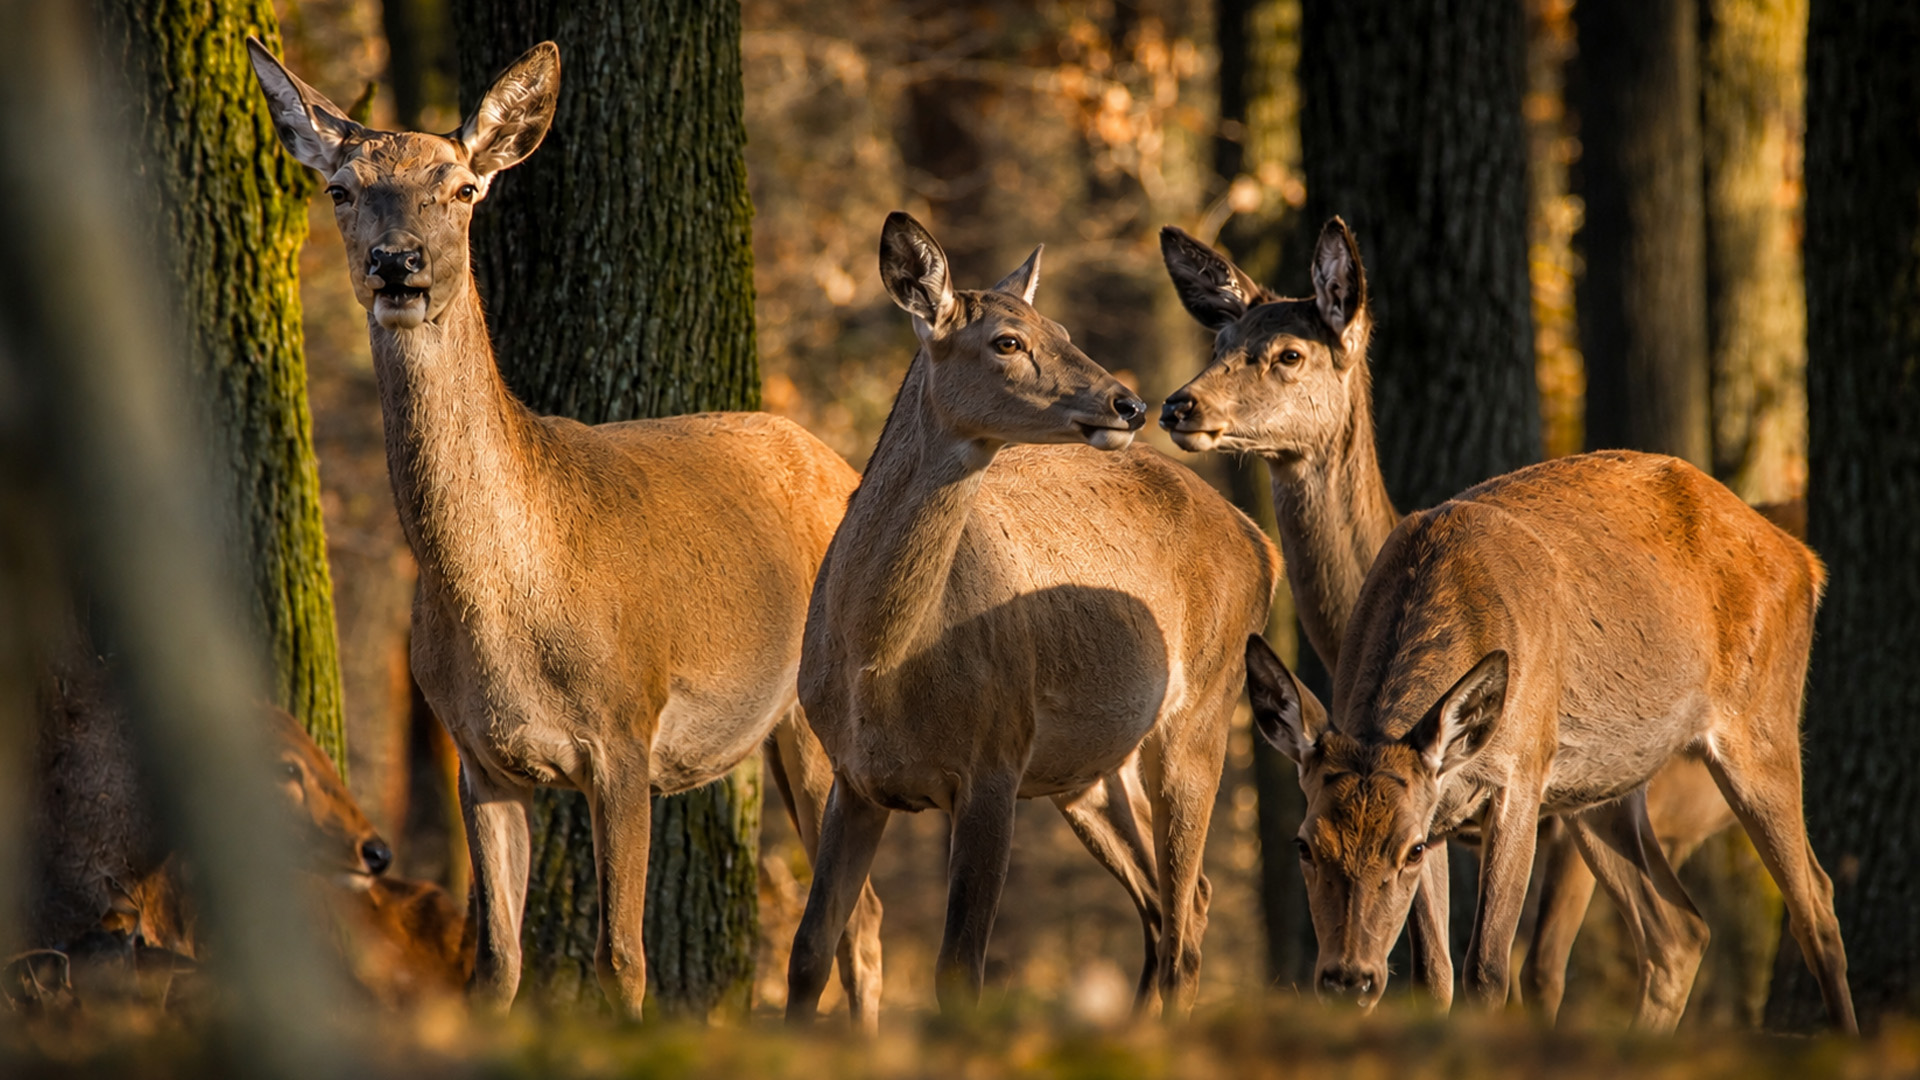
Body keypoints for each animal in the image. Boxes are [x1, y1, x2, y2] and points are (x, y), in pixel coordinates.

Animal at [246, 40, 884, 1022]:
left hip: (831, 710)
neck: (512, 602)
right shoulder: (480, 758)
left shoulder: (625, 731)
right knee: (858, 913)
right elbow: (495, 963)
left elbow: (622, 958)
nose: (398, 263)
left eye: (463, 187)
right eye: (343, 189)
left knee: (859, 918)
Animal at [784, 212, 1279, 1021]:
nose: (1130, 404)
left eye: (1065, 328)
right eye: (1009, 341)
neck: (879, 661)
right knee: (1172, 905)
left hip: (1201, 713)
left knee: (1183, 916)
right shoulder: (853, 778)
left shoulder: (994, 761)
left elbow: (960, 968)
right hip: (1088, 772)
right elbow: (809, 953)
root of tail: (1260, 542)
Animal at [1158, 219, 1743, 1021]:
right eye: (1219, 341)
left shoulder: (1534, 809)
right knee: (1683, 930)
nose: (1180, 405)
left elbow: (1525, 972)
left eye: (1289, 354)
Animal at [1236, 448, 1856, 1033]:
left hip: (1760, 724)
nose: (1349, 978)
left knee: (1816, 904)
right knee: (1681, 931)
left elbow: (1488, 969)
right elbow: (1433, 976)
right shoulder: (1438, 803)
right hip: (1602, 792)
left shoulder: (1520, 779)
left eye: (1408, 849)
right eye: (1304, 844)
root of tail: (1805, 562)